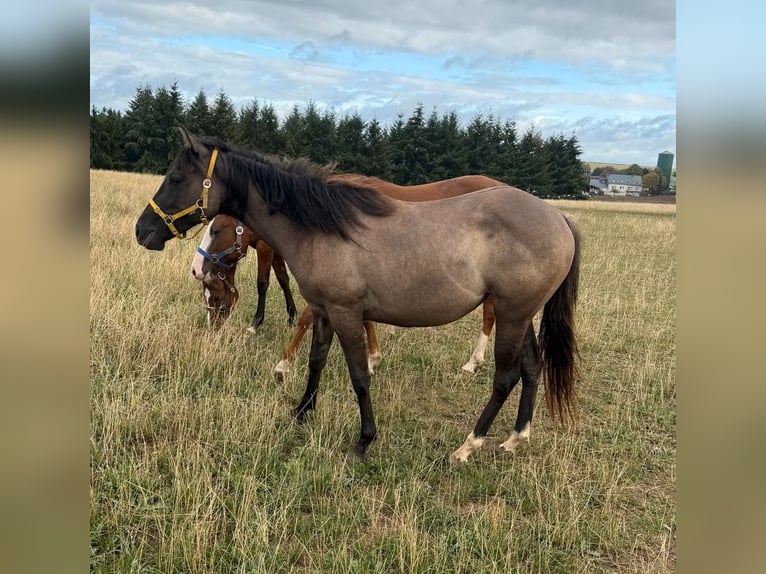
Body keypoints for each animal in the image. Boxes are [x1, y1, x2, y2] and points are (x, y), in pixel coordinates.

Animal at [191, 171, 506, 379]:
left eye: (216, 229)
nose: (195, 267)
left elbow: (285, 299)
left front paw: (281, 359)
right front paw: (373, 358)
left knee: (490, 318)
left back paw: (473, 362)